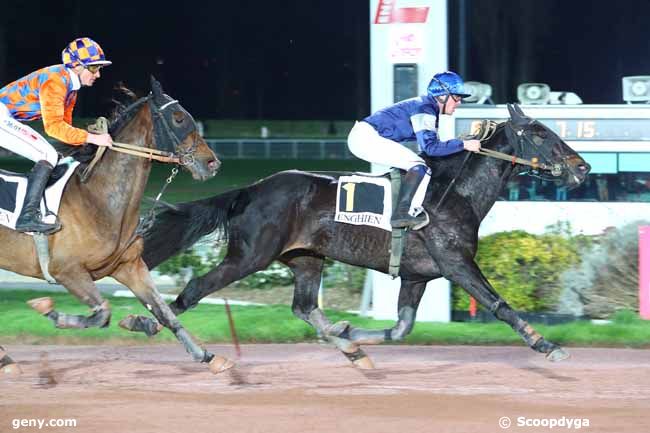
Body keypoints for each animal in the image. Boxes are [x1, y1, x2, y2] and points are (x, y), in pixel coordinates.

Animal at [0, 77, 233, 374]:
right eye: (179, 118)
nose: (212, 162)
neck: (98, 200)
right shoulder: (67, 271)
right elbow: (103, 314)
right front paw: (48, 310)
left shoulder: (129, 266)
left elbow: (164, 312)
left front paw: (207, 356)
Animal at [130, 103, 588, 366]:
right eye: (542, 134)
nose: (582, 167)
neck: (453, 191)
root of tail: (252, 189)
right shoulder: (457, 263)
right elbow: (500, 305)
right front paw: (546, 345)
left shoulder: (418, 275)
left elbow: (402, 327)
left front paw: (354, 334)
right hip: (250, 256)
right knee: (196, 288)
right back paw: (152, 326)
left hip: (306, 259)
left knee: (304, 307)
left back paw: (350, 348)